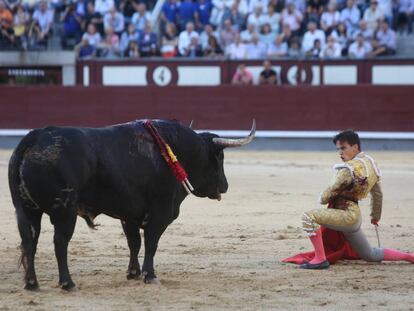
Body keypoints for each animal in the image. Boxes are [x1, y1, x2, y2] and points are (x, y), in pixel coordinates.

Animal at [8, 119, 256, 290]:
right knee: (60, 242)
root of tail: (36, 137)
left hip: (30, 211)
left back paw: (32, 284)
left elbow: (134, 243)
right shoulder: (159, 213)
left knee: (30, 242)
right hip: (64, 211)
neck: (175, 151)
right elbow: (151, 243)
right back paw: (67, 283)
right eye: (220, 158)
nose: (225, 186)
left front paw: (133, 273)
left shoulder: (129, 214)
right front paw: (149, 275)